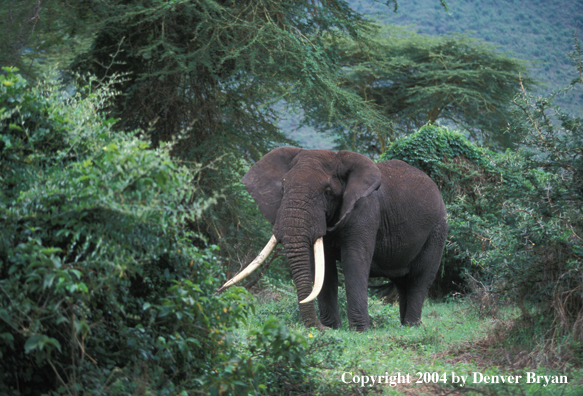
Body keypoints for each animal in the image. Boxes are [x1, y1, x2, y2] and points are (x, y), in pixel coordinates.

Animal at [221, 146, 450, 332]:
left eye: (328, 192)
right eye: (283, 188)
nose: (320, 328)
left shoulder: (365, 212)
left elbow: (354, 262)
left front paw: (360, 331)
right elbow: (325, 268)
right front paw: (334, 328)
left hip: (438, 230)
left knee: (419, 279)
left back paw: (412, 327)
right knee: (403, 283)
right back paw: (404, 326)